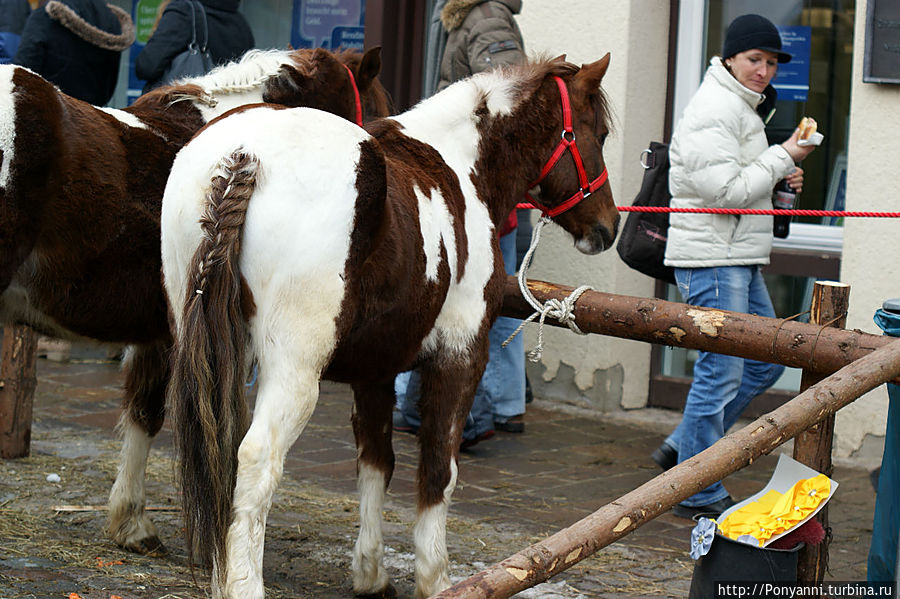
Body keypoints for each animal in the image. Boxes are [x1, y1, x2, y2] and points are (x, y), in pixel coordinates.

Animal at [162, 54, 616, 596]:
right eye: (599, 133)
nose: (608, 227)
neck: (462, 166)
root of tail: (243, 155)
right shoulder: (461, 356)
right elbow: (437, 469)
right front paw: (435, 579)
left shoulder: (374, 370)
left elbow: (376, 464)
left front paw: (371, 573)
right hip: (293, 372)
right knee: (255, 458)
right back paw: (244, 584)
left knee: (220, 450)